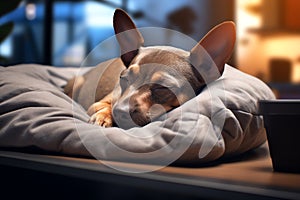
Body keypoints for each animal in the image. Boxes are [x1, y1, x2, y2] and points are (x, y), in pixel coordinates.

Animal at [64, 8, 236, 129]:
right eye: (123, 79)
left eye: (163, 88)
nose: (120, 110)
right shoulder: (99, 104)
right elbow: (107, 106)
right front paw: (103, 116)